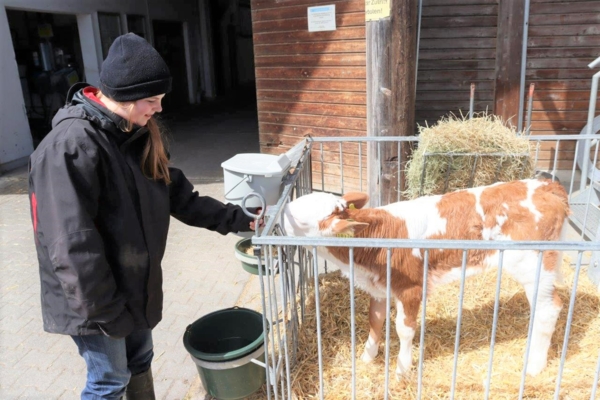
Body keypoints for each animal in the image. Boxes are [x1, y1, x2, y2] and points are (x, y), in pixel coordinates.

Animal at [284, 180, 568, 376]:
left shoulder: (411, 288)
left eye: (297, 218)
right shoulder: (379, 286)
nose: (279, 210)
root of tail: (549, 186)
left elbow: (404, 329)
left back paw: (534, 366)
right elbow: (375, 319)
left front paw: (402, 370)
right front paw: (367, 357)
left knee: (549, 308)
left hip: (532, 262)